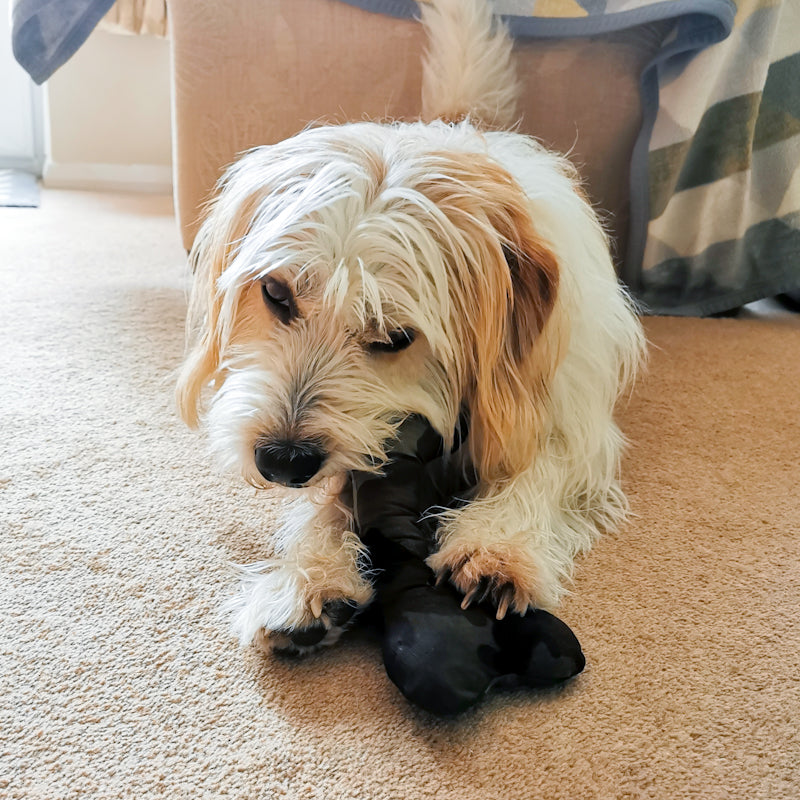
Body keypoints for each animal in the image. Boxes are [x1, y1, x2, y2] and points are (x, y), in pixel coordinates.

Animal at [175, 0, 644, 652]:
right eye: (275, 294)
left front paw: (499, 546)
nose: (281, 462)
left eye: (395, 338)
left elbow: (540, 469)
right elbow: (329, 501)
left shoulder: (575, 426)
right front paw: (309, 576)